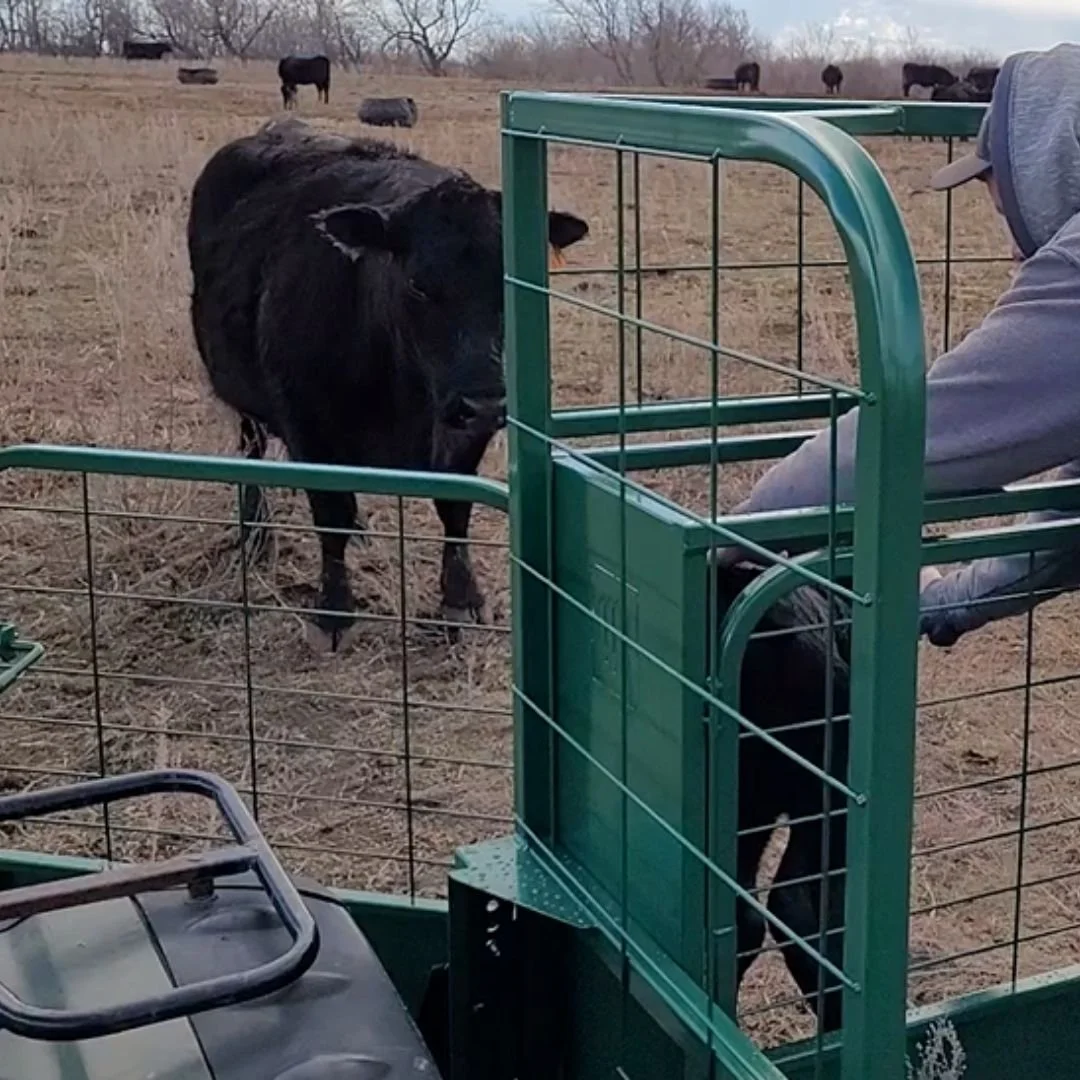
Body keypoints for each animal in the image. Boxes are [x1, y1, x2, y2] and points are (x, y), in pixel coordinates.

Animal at [186, 118, 589, 649]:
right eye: (417, 283)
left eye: (508, 281)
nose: (483, 402)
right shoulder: (308, 425)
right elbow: (330, 514)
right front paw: (334, 612)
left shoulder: (465, 430)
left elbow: (455, 506)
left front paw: (461, 599)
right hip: (240, 393)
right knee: (250, 452)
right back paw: (256, 534)